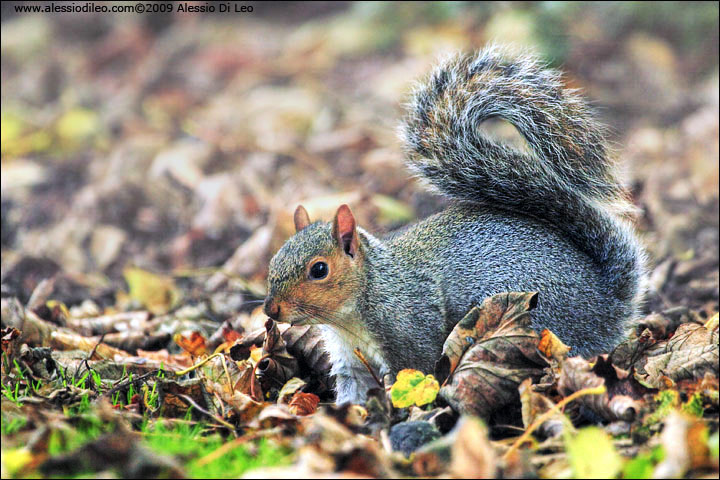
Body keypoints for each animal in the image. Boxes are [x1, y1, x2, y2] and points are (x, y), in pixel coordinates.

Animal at [262, 47, 644, 404]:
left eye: (319, 270)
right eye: (273, 261)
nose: (270, 309)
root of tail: (606, 302)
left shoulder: (413, 333)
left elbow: (415, 375)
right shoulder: (351, 361)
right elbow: (353, 393)